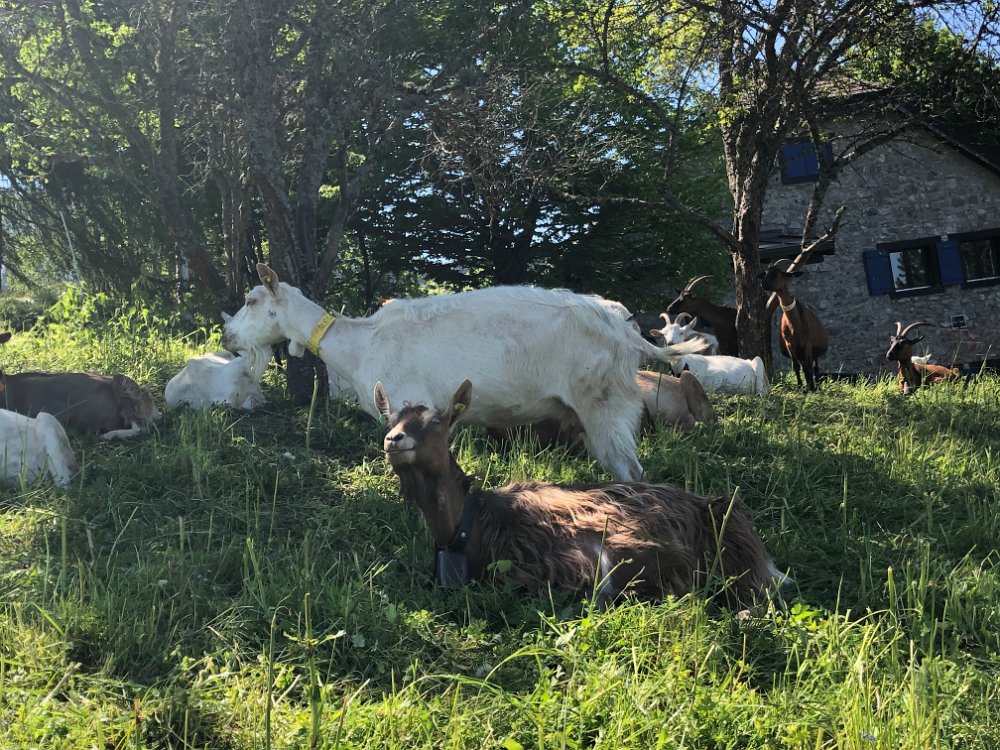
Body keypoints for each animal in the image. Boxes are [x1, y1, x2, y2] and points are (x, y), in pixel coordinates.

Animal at [222, 264, 705, 482]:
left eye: (250, 300)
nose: (226, 336)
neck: (362, 343)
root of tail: (625, 332)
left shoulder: (406, 404)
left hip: (605, 402)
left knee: (630, 470)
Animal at [759, 260, 828, 392]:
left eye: (777, 273)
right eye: (765, 273)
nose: (763, 283)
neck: (795, 325)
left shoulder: (807, 343)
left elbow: (808, 366)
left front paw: (811, 387)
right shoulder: (790, 344)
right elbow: (796, 366)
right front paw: (801, 386)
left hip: (813, 351)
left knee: (814, 366)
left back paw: (816, 385)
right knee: (804, 365)